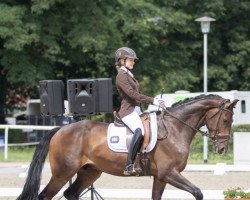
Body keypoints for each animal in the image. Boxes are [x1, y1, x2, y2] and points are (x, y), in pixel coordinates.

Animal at [17, 94, 238, 200]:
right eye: (226, 119)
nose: (221, 149)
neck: (176, 128)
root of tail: (61, 130)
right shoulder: (168, 173)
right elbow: (198, 192)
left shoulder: (160, 177)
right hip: (63, 172)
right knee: (45, 195)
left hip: (89, 172)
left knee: (71, 193)